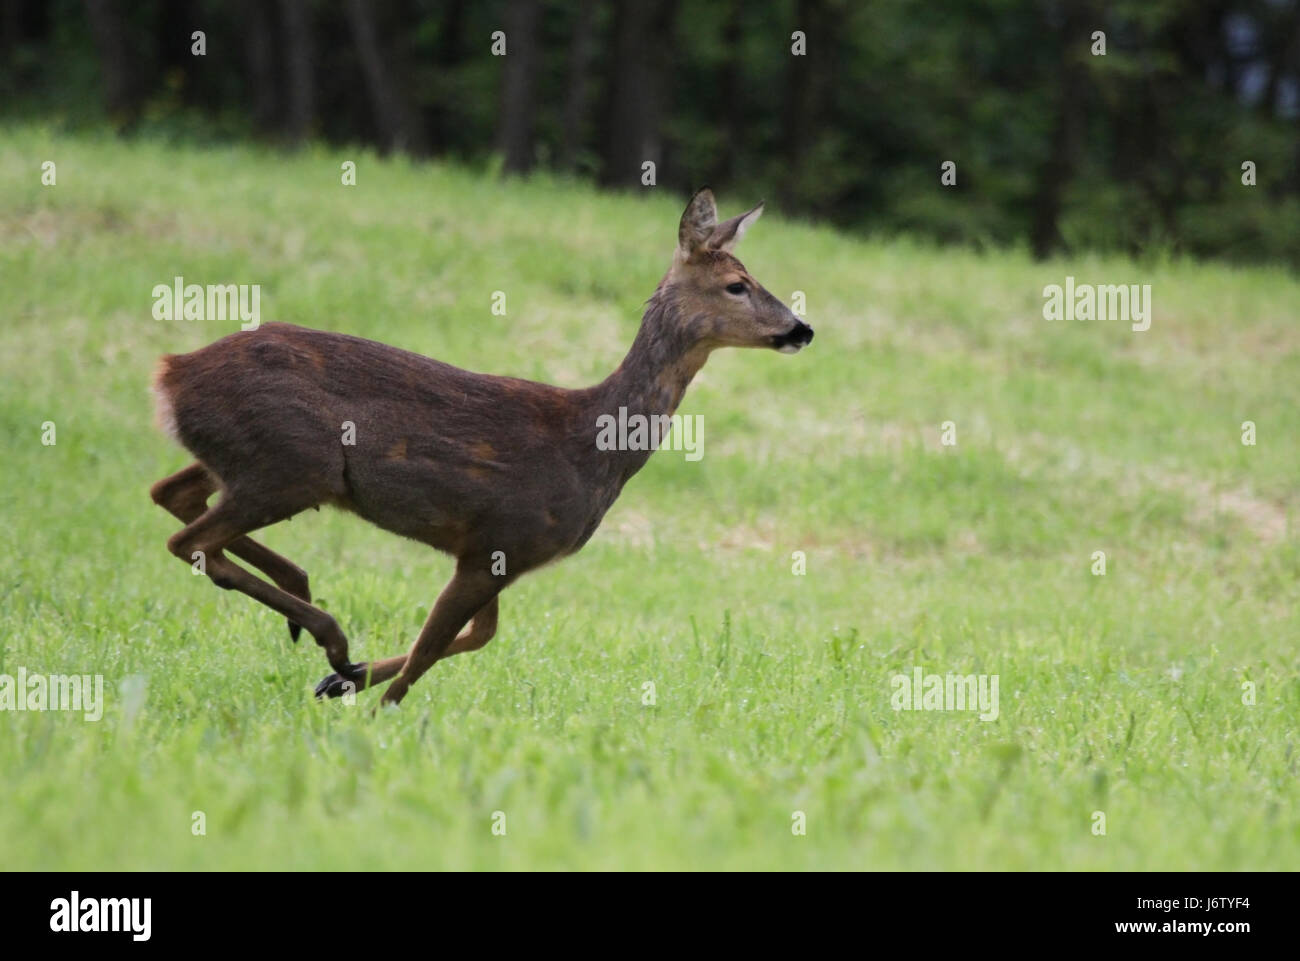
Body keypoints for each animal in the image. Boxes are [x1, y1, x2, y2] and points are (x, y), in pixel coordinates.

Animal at [149, 191, 811, 712]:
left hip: (252, 463)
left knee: (171, 494)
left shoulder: (496, 553)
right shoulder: (499, 538)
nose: (801, 328)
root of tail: (170, 375)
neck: (592, 448)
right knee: (188, 540)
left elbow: (474, 637)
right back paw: (328, 633)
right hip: (291, 463)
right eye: (737, 285)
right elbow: (432, 648)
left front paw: (343, 683)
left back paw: (309, 609)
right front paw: (369, 707)